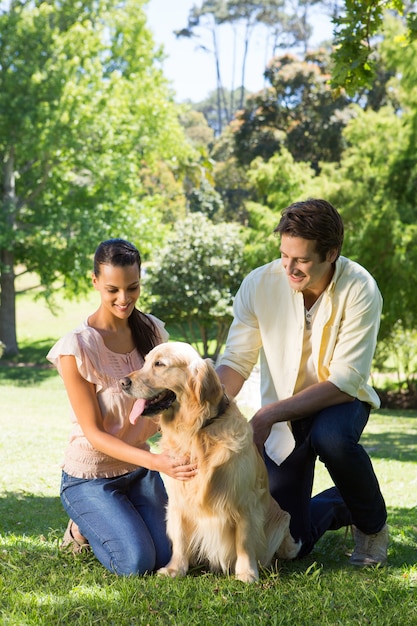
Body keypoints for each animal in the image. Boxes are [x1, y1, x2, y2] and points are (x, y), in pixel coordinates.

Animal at [120, 342, 300, 580]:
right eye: (145, 361)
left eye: (159, 364)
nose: (122, 382)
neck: (195, 430)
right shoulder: (178, 501)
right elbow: (179, 538)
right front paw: (175, 569)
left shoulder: (244, 501)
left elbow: (244, 540)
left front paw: (246, 573)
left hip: (283, 519)